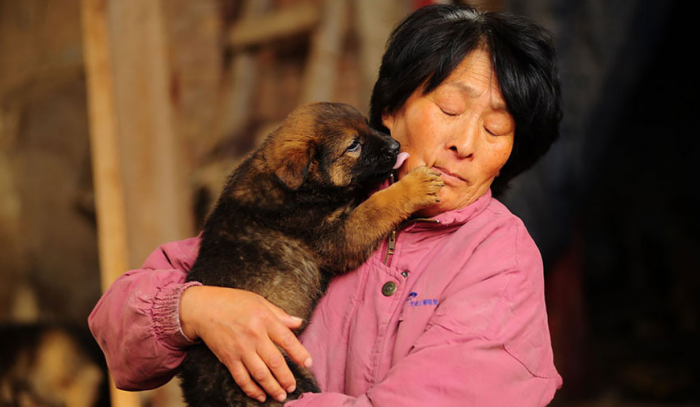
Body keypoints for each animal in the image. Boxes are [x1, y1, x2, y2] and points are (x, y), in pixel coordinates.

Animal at [180, 103, 442, 407]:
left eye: (368, 125)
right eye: (353, 145)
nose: (395, 145)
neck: (300, 186)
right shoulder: (337, 236)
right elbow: (377, 205)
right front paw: (415, 186)